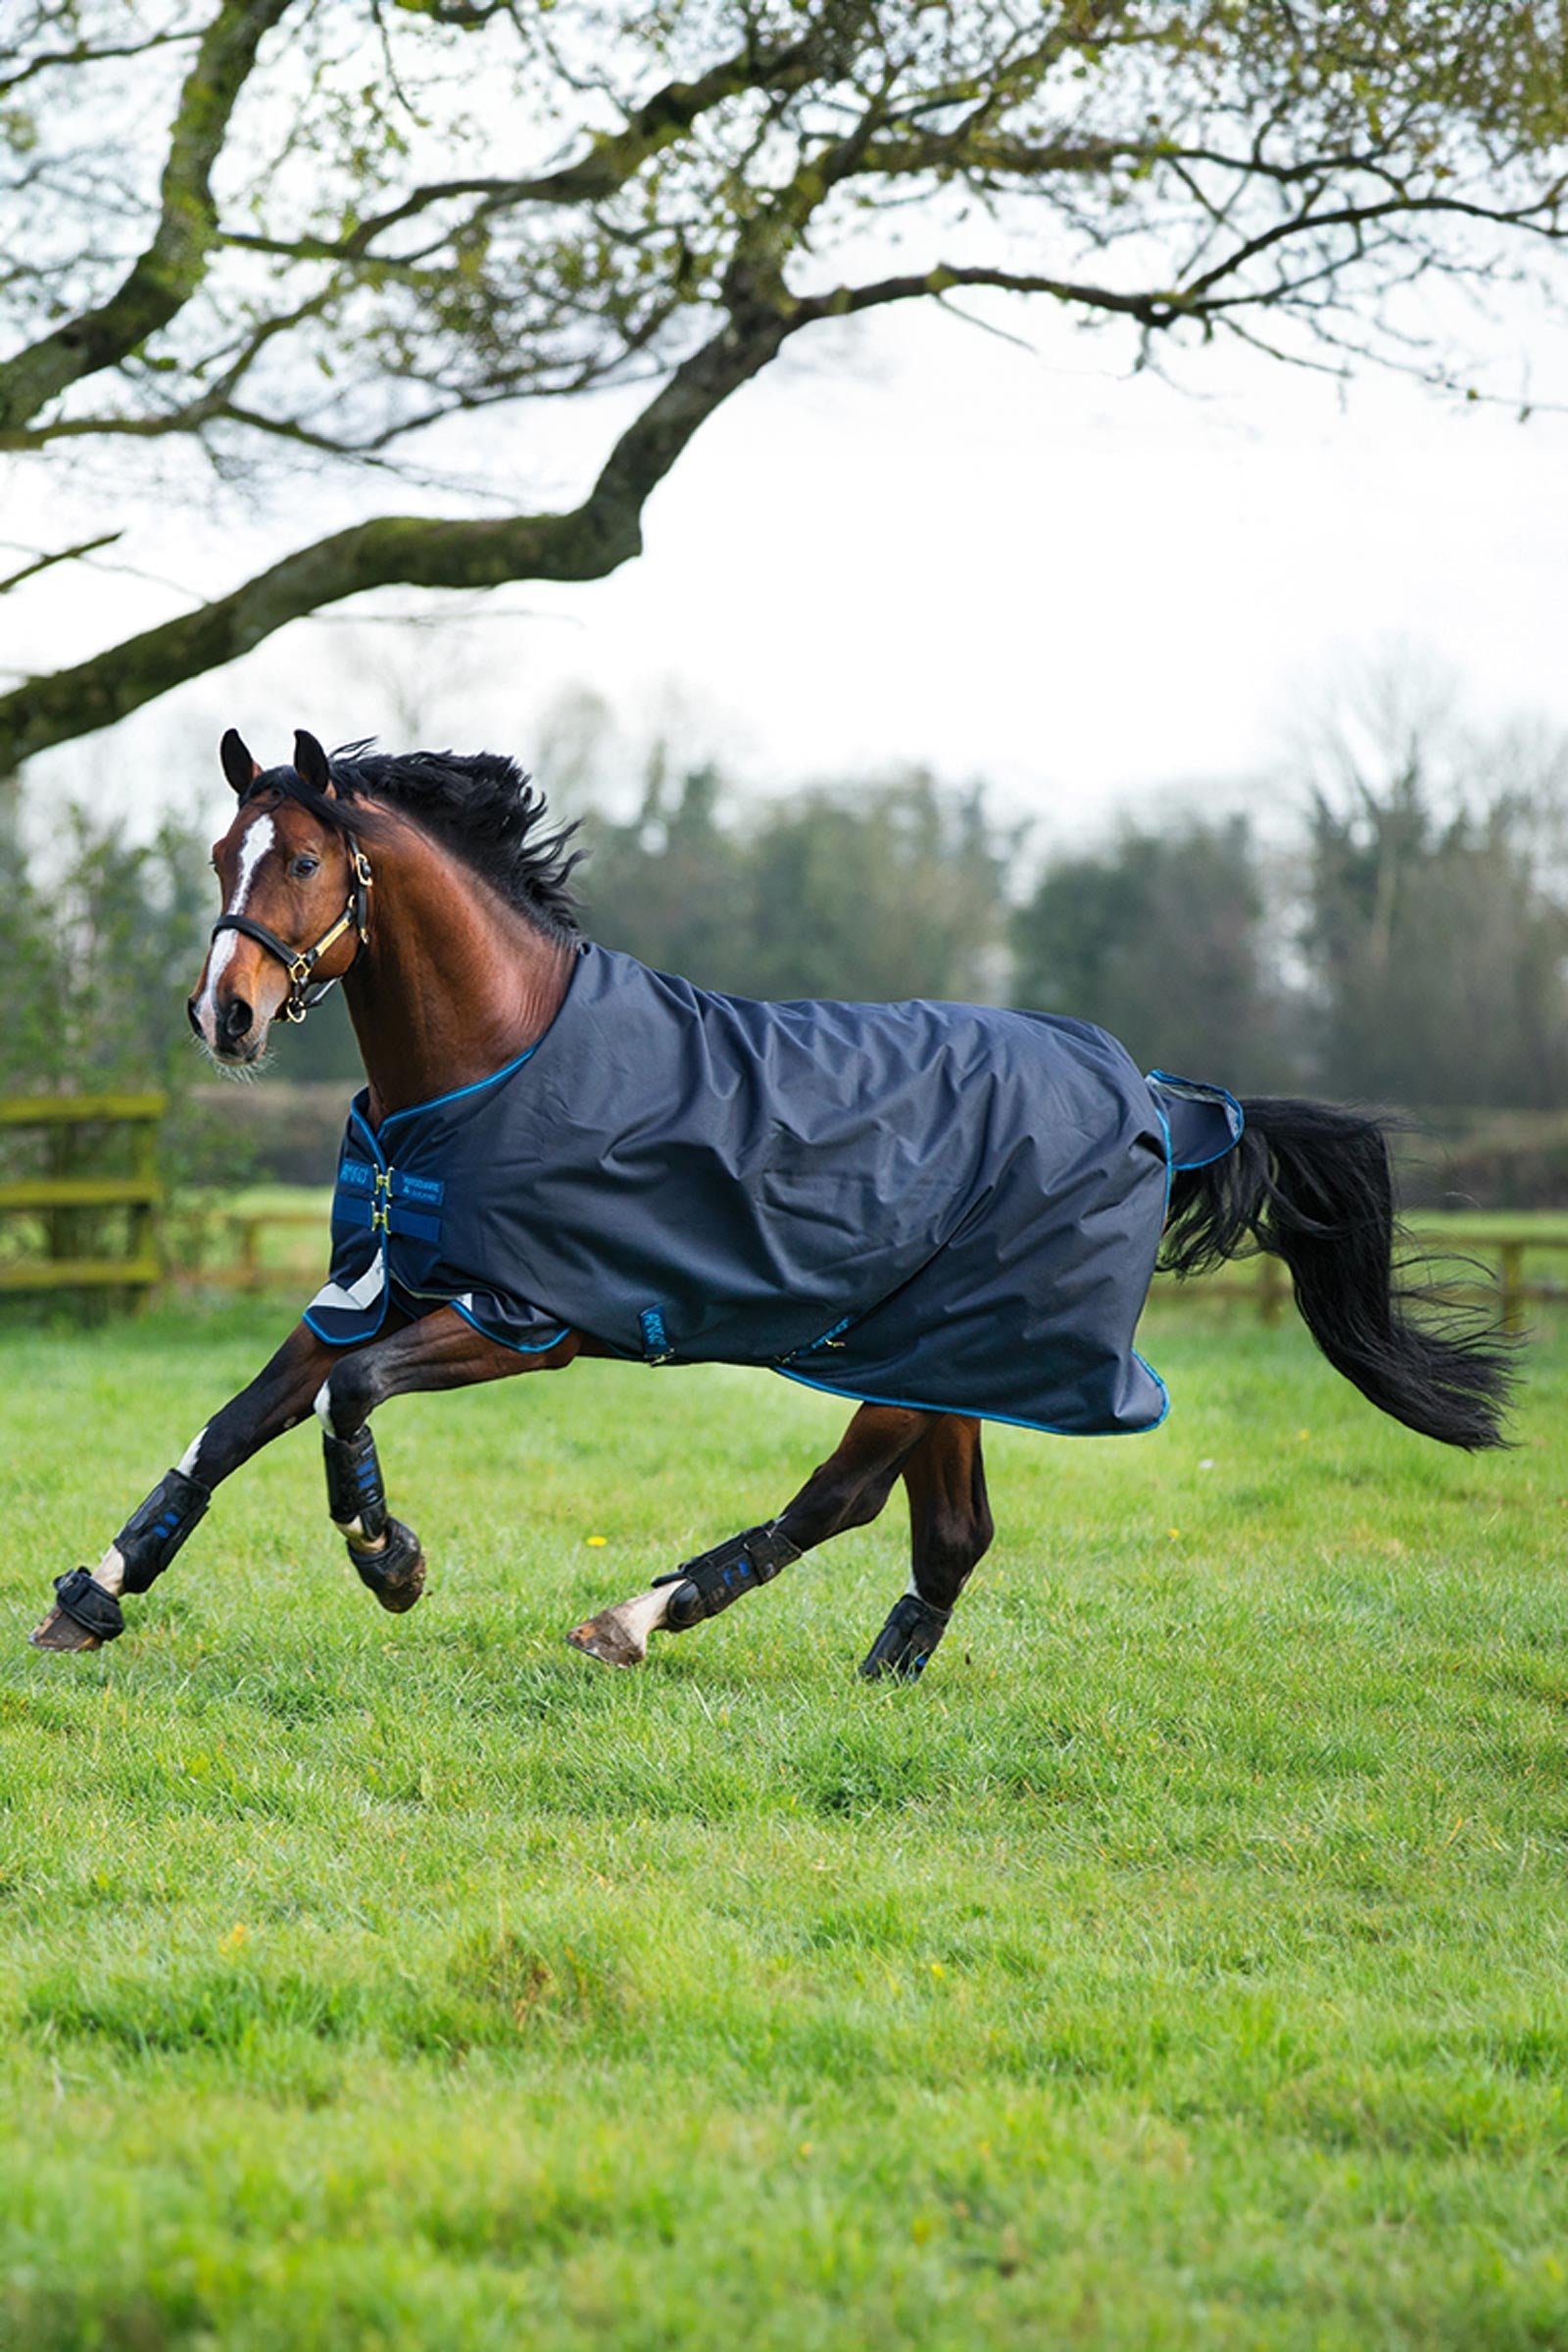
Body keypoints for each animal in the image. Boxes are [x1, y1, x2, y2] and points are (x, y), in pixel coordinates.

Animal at [30, 729, 1512, 1674]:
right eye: (219, 850)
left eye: (301, 863)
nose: (223, 1016)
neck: (494, 1061)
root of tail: (1154, 1093)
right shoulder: (373, 1283)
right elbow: (238, 1421)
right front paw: (93, 1596)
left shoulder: (525, 1317)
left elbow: (346, 1402)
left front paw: (390, 1561)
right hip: (947, 1353)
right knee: (948, 1531)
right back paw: (870, 1668)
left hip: (924, 1352)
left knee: (846, 1498)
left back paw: (636, 1619)